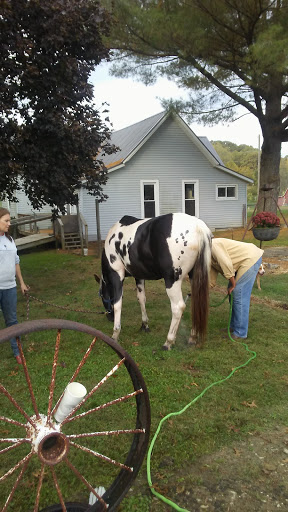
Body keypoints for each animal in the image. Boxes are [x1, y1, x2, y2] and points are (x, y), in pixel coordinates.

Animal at [95, 213, 213, 352]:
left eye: (102, 296)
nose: (109, 317)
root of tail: (198, 227)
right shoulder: (139, 277)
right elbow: (141, 299)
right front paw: (144, 325)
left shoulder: (117, 275)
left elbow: (118, 304)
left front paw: (115, 335)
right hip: (194, 278)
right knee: (196, 303)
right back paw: (192, 338)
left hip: (172, 281)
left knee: (178, 307)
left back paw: (168, 342)